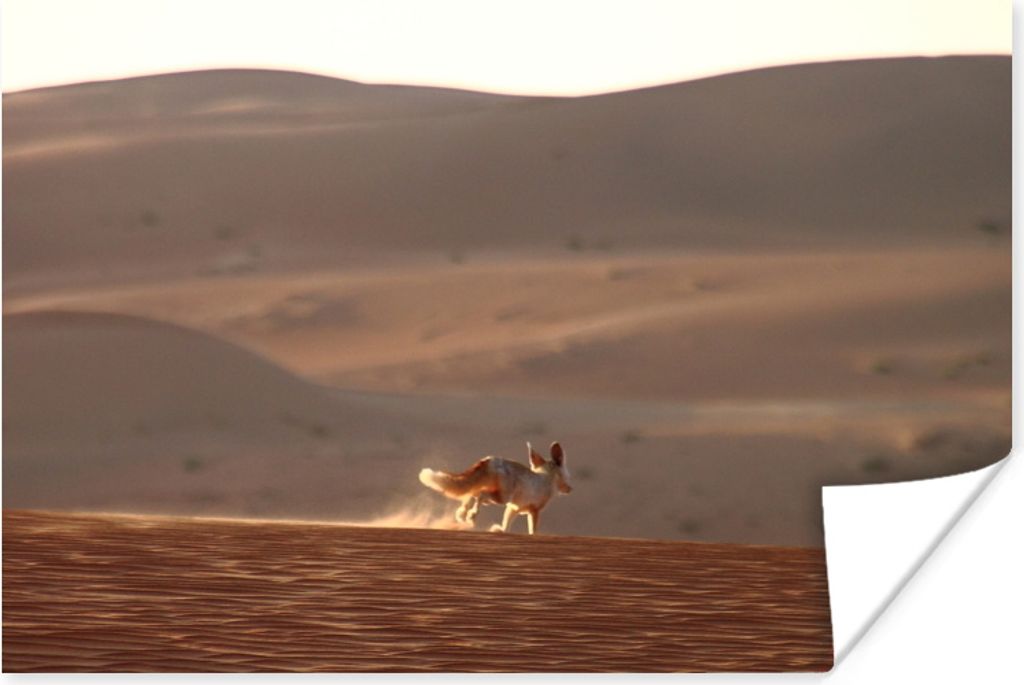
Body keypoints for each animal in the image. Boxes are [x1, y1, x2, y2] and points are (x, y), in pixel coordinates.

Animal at [418, 441, 572, 535]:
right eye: (567, 476)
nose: (570, 489)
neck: (546, 476)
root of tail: (490, 460)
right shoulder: (534, 510)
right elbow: (532, 530)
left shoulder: (513, 508)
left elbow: (505, 525)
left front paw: (498, 530)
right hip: (501, 497)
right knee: (480, 495)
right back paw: (471, 516)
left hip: (491, 491)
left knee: (472, 494)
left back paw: (462, 514)